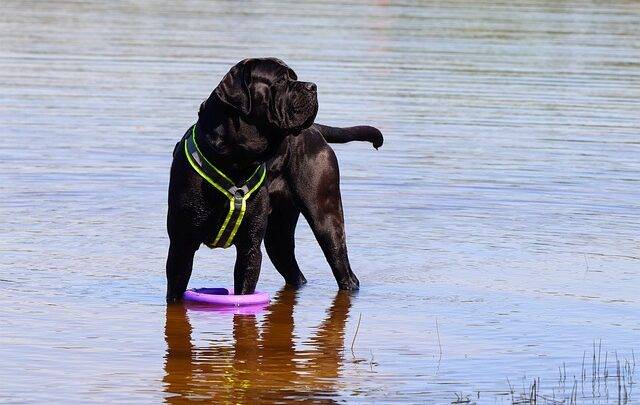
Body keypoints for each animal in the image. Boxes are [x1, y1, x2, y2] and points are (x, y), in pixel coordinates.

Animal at [168, 58, 382, 302]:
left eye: (294, 77)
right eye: (280, 80)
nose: (312, 86)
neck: (235, 161)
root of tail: (315, 130)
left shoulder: (250, 248)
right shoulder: (181, 245)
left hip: (326, 219)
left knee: (344, 269)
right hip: (278, 235)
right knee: (294, 271)